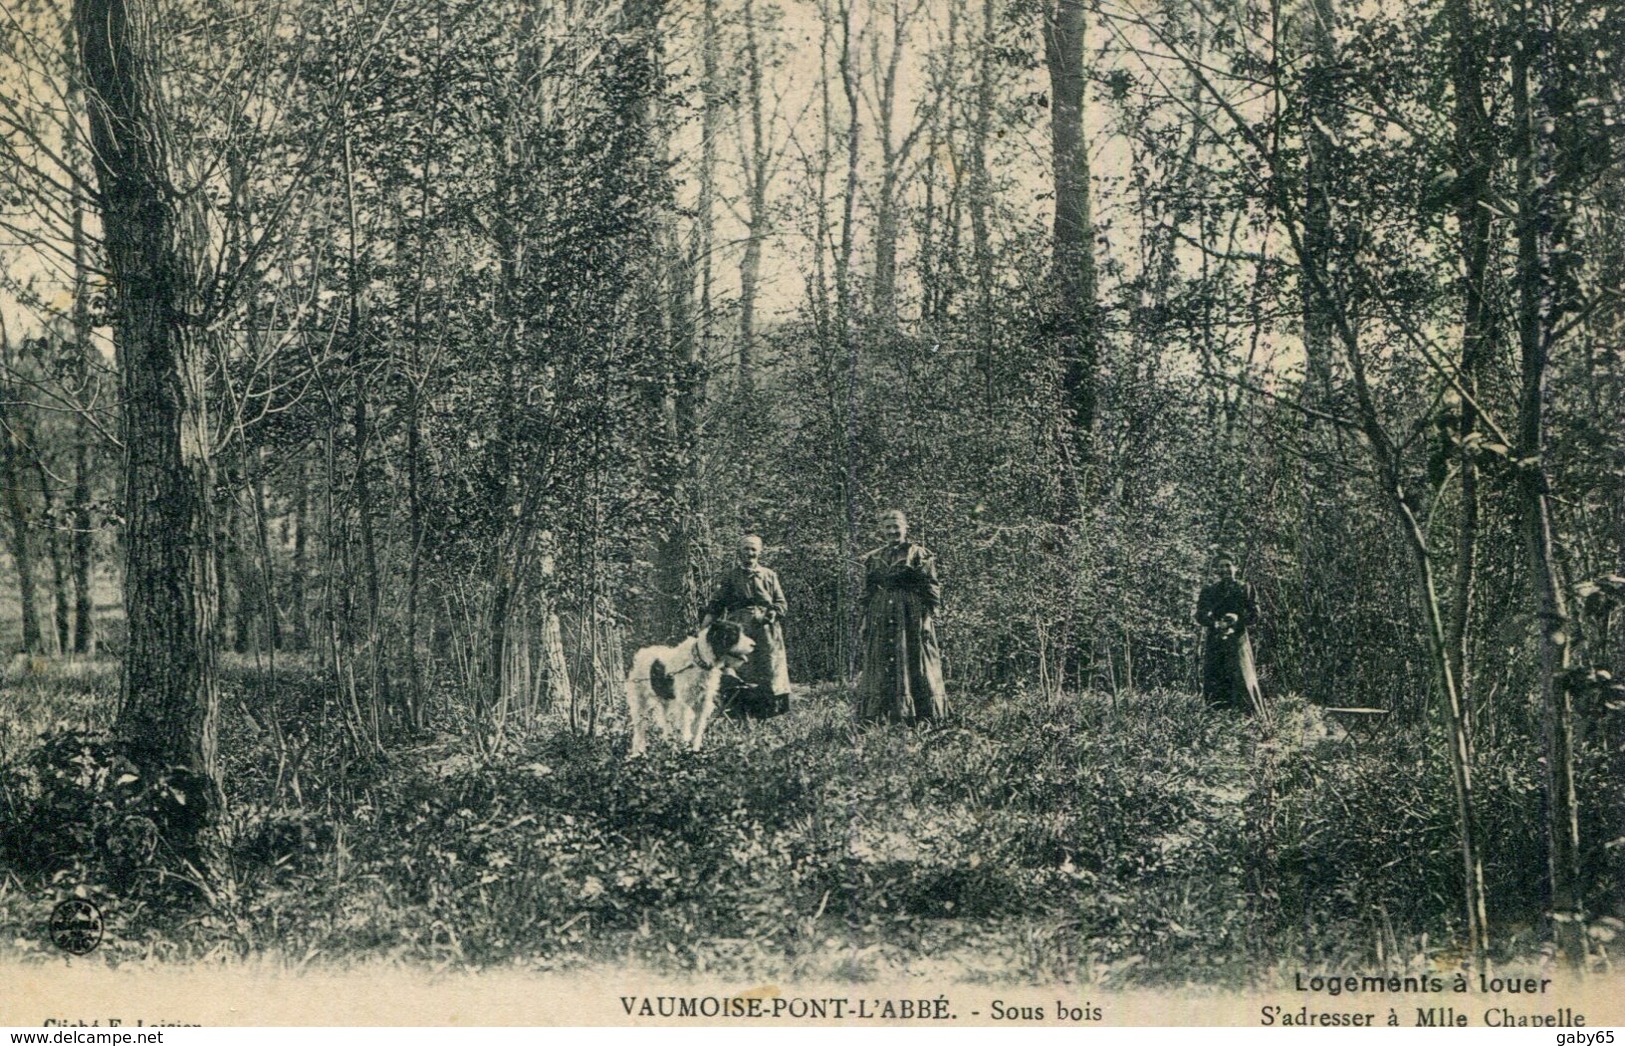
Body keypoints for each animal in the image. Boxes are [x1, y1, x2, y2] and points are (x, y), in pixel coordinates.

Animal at [627, 617, 754, 756]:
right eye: (733, 634)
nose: (753, 645)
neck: (698, 662)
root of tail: (641, 653)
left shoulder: (702, 705)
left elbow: (697, 730)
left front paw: (694, 750)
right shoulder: (684, 705)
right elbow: (686, 729)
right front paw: (685, 748)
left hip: (665, 703)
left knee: (666, 727)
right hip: (639, 703)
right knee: (639, 730)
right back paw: (637, 753)